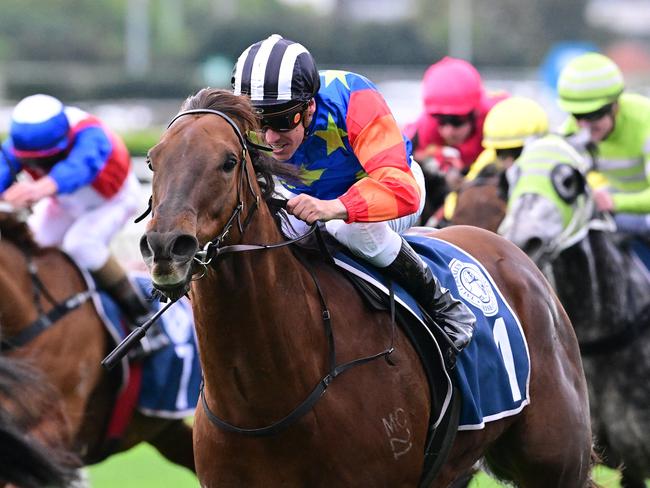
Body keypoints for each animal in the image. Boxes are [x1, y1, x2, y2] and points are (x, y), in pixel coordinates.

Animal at [139, 88, 596, 488]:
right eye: (152, 161)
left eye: (229, 161)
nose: (166, 247)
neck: (264, 400)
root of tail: (514, 252)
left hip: (557, 460)